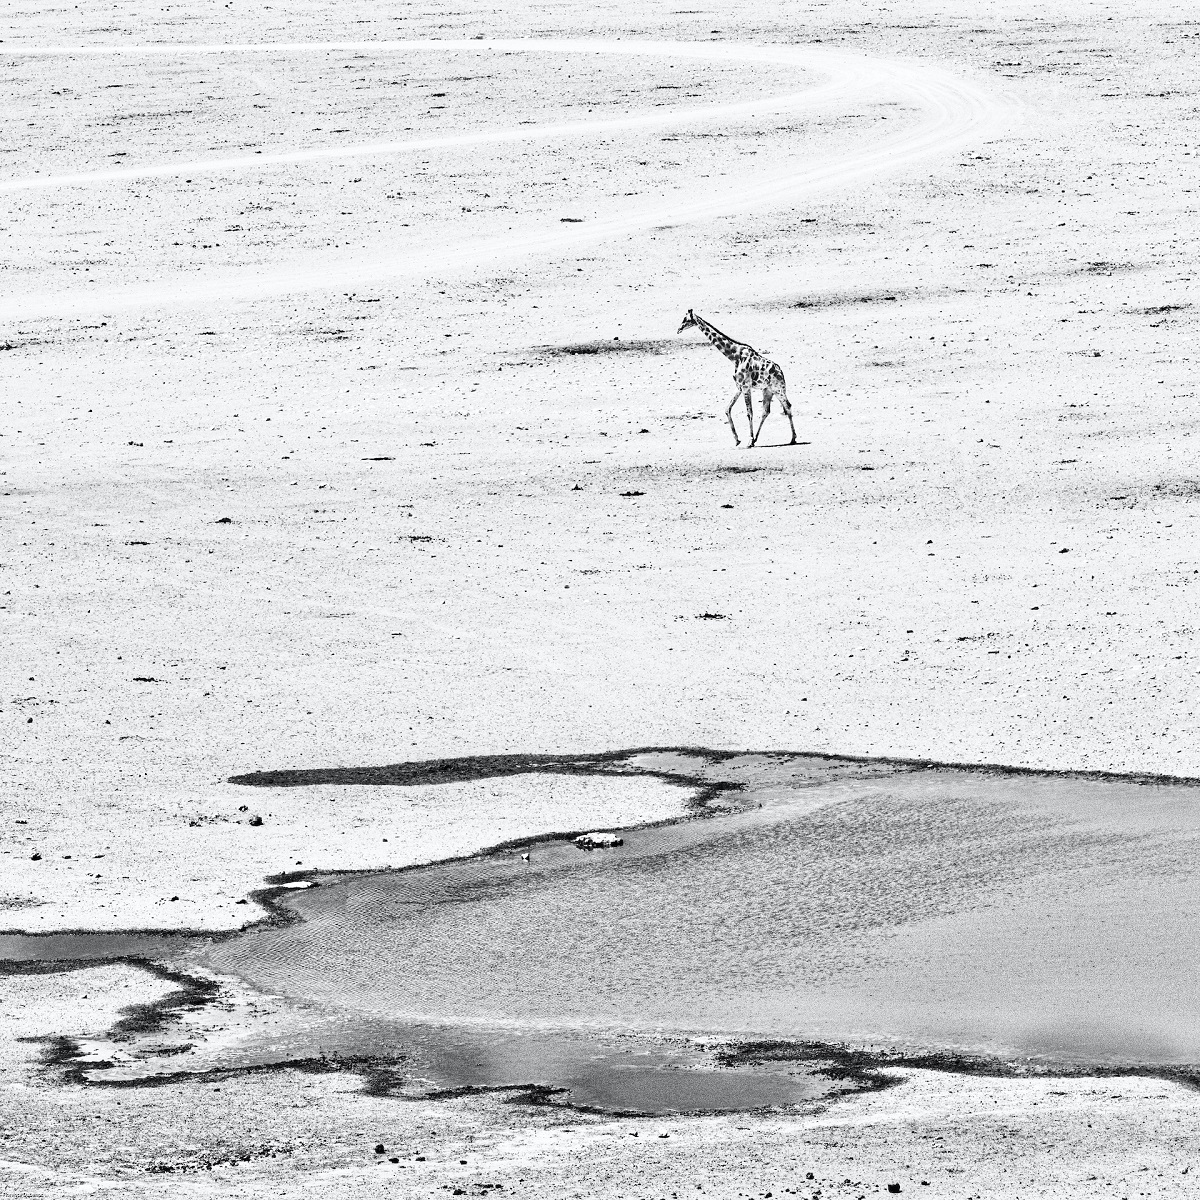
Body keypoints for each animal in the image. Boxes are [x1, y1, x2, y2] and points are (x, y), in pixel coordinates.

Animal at [676, 309, 796, 451]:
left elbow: (749, 412)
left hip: (779, 389)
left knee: (787, 406)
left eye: (686, 319)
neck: (734, 356)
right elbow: (727, 409)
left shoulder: (746, 386)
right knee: (766, 411)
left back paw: (793, 439)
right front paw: (738, 440)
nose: (678, 329)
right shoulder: (739, 387)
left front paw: (748, 441)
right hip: (767, 390)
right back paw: (757, 439)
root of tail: (780, 372)